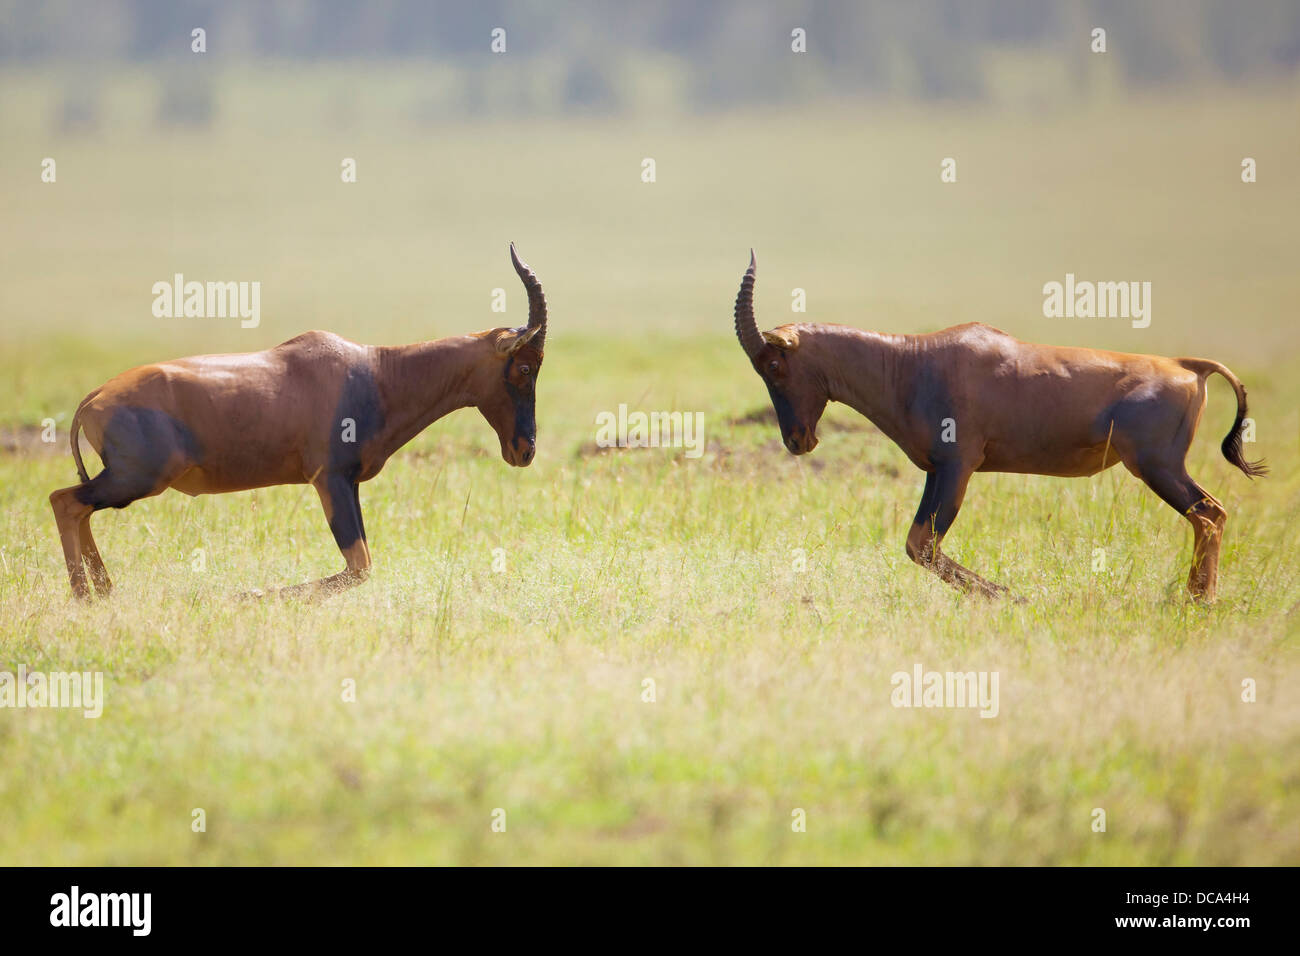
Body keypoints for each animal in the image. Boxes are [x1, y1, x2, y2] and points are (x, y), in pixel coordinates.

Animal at [49, 243, 548, 600]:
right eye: (524, 367)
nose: (524, 450)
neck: (374, 371)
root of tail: (94, 399)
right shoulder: (329, 479)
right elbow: (359, 567)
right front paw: (247, 594)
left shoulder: (348, 482)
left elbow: (361, 564)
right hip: (138, 479)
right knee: (65, 501)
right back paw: (85, 596)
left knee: (77, 507)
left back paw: (104, 593)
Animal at [738, 251, 1263, 600]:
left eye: (775, 364)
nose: (797, 440)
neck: (913, 361)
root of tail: (1188, 366)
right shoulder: (938, 469)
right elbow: (918, 545)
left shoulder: (958, 466)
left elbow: (922, 544)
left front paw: (1009, 596)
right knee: (1212, 515)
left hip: (1157, 466)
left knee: (1208, 515)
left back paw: (1196, 602)